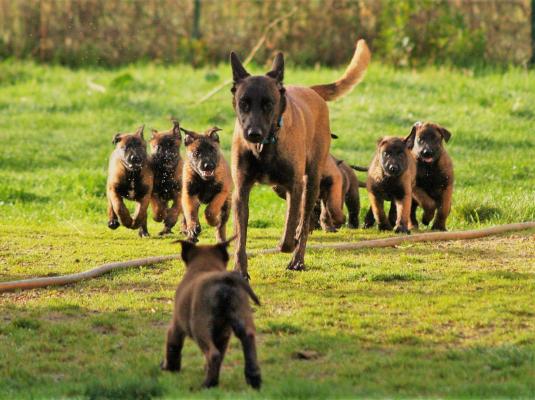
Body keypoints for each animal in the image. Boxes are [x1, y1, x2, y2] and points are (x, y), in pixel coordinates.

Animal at [163, 239, 264, 390]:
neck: (205, 266)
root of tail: (224, 278)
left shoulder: (176, 327)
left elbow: (173, 347)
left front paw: (169, 368)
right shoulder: (224, 336)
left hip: (200, 328)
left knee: (213, 354)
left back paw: (207, 384)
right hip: (241, 317)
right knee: (248, 339)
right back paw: (254, 378)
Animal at [228, 39, 370, 278]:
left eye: (268, 104)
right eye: (243, 103)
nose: (253, 133)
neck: (264, 147)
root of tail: (311, 91)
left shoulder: (295, 185)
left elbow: (291, 230)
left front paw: (290, 243)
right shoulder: (241, 190)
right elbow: (240, 238)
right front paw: (240, 269)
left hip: (311, 179)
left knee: (303, 220)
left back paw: (298, 259)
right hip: (281, 187)